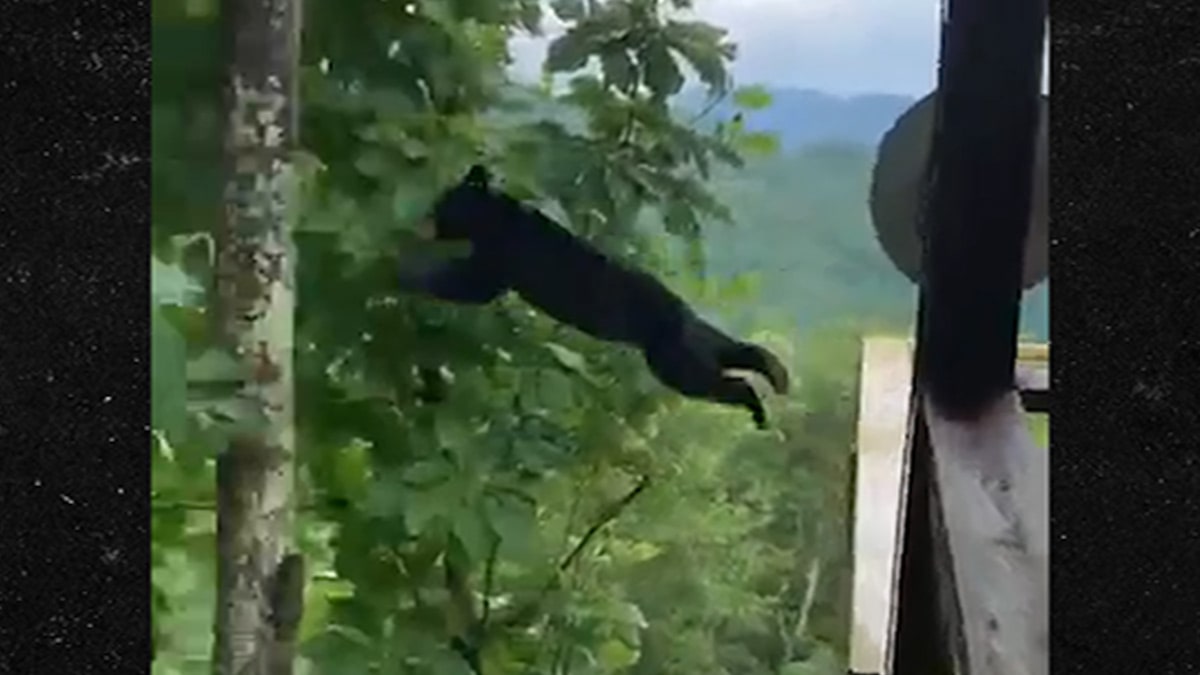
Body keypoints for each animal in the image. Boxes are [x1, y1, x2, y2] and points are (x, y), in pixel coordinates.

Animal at [398, 164, 792, 425]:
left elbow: (467, 284)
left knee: (718, 381)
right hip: (695, 344)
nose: (424, 216)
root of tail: (686, 316)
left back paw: (758, 408)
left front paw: (406, 273)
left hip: (672, 358)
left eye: (444, 204)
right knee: (734, 350)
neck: (498, 217)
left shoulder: (499, 259)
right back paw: (775, 372)